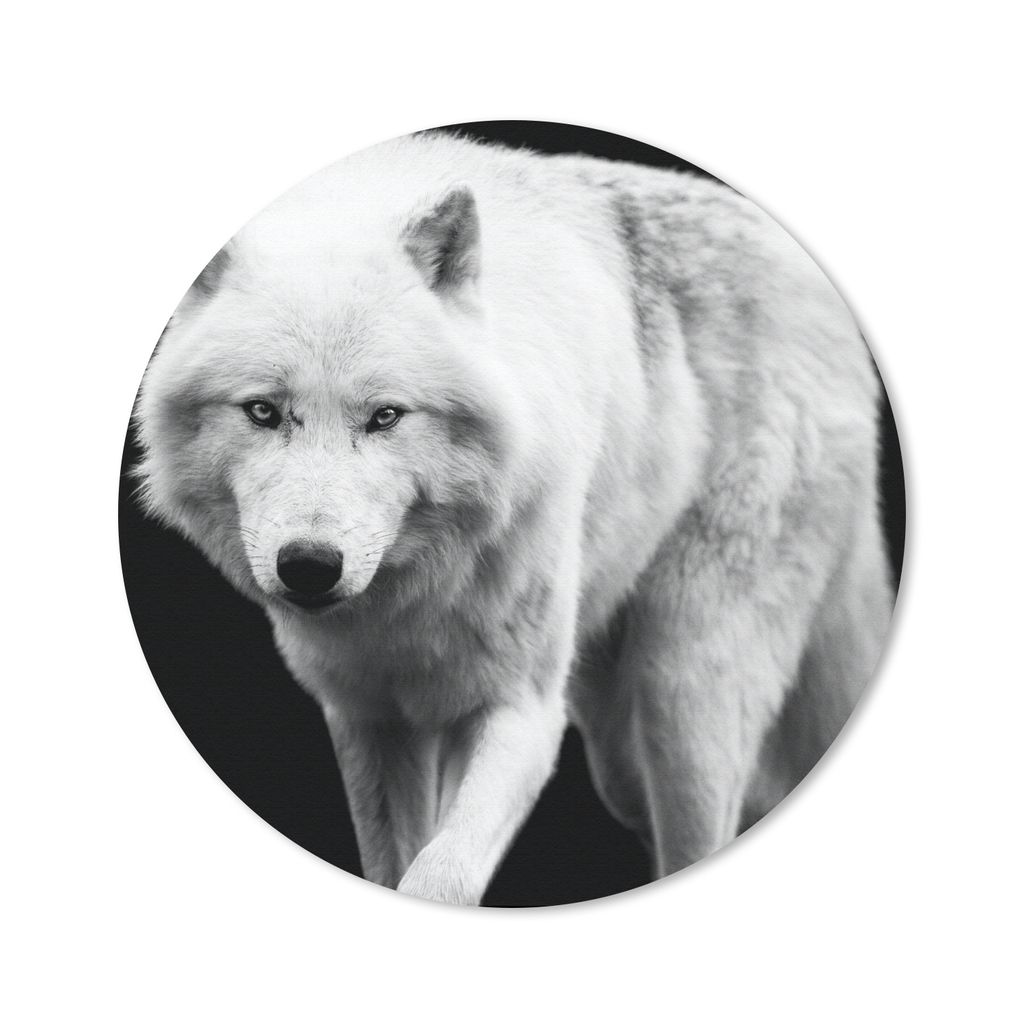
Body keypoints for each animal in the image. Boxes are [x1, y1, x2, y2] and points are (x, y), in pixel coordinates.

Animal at [133, 131, 894, 905]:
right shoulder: (370, 719)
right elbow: (394, 861)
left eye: (385, 417)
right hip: (617, 750)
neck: (413, 599)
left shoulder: (522, 711)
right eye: (263, 411)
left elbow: (441, 875)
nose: (311, 567)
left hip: (683, 697)